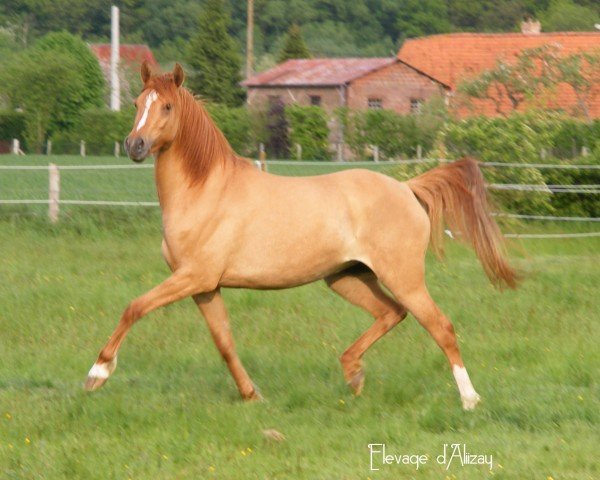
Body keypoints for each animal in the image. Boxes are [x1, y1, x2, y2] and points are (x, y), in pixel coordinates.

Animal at [83, 62, 516, 410]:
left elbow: (134, 307)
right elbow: (224, 342)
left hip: (403, 277)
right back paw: (353, 373)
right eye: (137, 103)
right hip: (346, 277)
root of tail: (407, 188)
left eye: (167, 107)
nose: (135, 145)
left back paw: (469, 399)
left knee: (440, 326)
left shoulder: (192, 276)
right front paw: (252, 395)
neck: (205, 191)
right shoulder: (206, 286)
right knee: (392, 313)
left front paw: (98, 373)